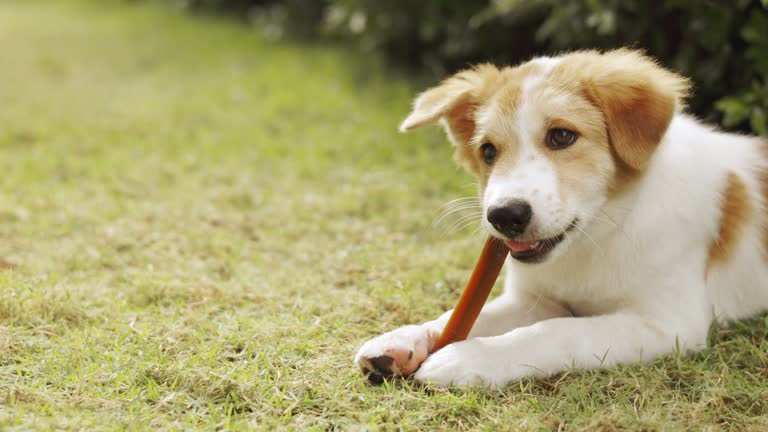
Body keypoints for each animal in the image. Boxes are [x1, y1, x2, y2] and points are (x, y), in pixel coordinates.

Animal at [352, 49, 768, 388]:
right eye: (488, 151)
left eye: (562, 136)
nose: (504, 216)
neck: (597, 238)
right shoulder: (535, 298)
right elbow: (460, 315)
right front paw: (402, 339)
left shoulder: (668, 323)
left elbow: (557, 332)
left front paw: (471, 358)